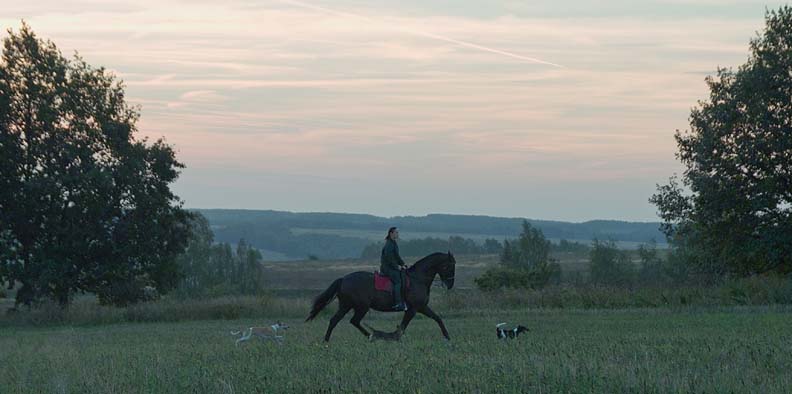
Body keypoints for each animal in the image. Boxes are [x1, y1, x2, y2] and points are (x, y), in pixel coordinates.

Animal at [304, 252, 454, 342]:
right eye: (449, 266)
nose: (450, 284)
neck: (418, 279)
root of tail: (343, 279)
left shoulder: (421, 307)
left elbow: (437, 318)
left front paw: (447, 337)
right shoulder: (414, 308)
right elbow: (403, 326)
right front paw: (394, 337)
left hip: (347, 305)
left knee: (336, 320)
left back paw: (328, 340)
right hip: (361, 306)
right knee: (352, 321)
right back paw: (370, 336)